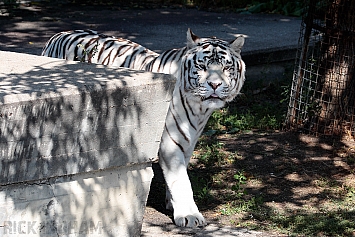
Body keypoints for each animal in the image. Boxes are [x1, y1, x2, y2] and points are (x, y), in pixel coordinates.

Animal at [41, 28, 246, 227]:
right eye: (202, 67)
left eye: (226, 68)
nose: (215, 84)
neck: (200, 110)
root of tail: (57, 35)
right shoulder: (171, 142)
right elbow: (181, 180)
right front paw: (189, 215)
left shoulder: (188, 142)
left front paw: (171, 203)